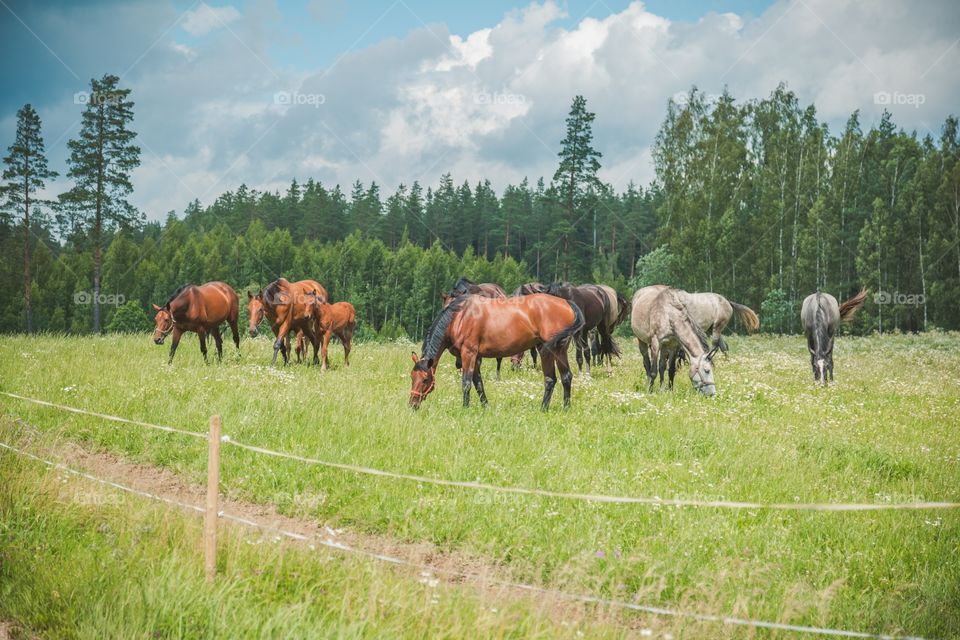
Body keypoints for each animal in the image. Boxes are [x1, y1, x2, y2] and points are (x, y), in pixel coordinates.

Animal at [406, 294, 580, 410]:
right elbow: (478, 383)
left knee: (550, 379)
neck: (459, 317)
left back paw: (543, 408)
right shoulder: (475, 358)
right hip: (558, 350)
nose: (412, 404)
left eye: (426, 379)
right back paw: (565, 408)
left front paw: (465, 408)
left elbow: (466, 383)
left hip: (549, 350)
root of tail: (566, 303)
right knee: (565, 377)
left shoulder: (468, 354)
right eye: (412, 376)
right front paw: (485, 406)